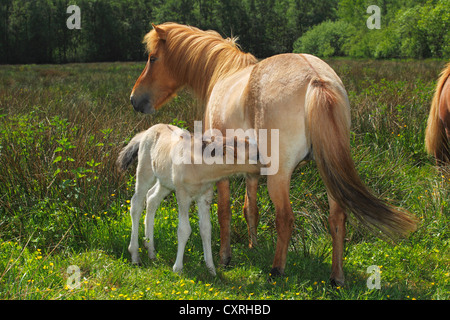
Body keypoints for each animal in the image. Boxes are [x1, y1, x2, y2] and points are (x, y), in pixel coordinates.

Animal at [118, 123, 262, 276]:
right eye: (255, 155)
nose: (265, 167)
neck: (199, 166)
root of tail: (147, 131)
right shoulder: (183, 196)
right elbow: (184, 229)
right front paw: (177, 268)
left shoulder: (205, 197)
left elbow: (206, 229)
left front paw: (211, 269)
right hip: (145, 173)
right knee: (136, 204)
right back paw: (135, 256)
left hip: (165, 183)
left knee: (151, 199)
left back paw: (151, 250)